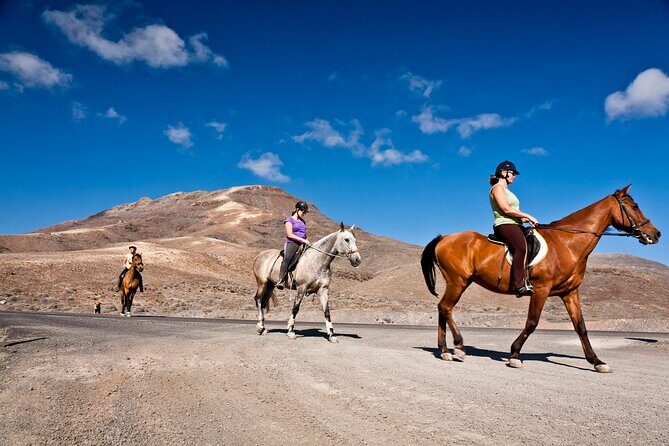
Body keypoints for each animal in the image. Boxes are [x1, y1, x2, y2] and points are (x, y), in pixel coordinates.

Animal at [421, 185, 660, 372]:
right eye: (635, 206)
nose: (656, 234)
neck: (568, 242)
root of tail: (444, 238)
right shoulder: (541, 290)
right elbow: (532, 322)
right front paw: (514, 355)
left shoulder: (570, 293)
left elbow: (581, 327)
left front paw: (596, 361)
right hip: (458, 281)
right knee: (446, 307)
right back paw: (459, 347)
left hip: (459, 282)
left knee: (443, 308)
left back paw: (445, 351)